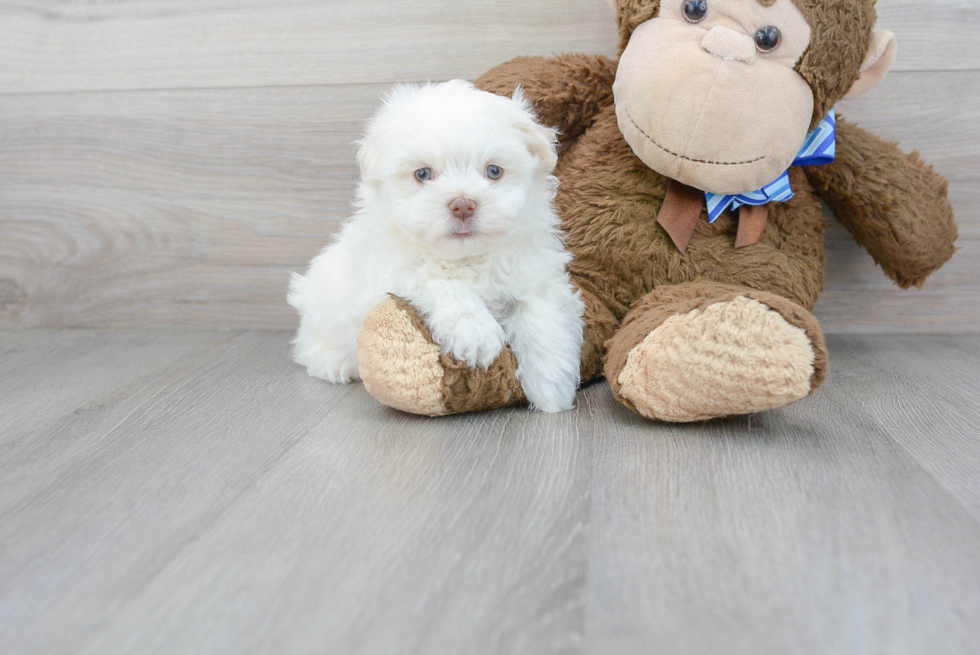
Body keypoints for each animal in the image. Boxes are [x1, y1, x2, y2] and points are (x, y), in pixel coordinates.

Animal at [288, 79, 584, 412]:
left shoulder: (535, 275)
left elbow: (542, 313)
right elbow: (439, 281)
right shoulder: (391, 273)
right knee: (309, 344)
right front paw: (476, 333)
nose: (463, 204)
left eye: (494, 171)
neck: (466, 258)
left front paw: (551, 384)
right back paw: (334, 363)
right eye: (423, 173)